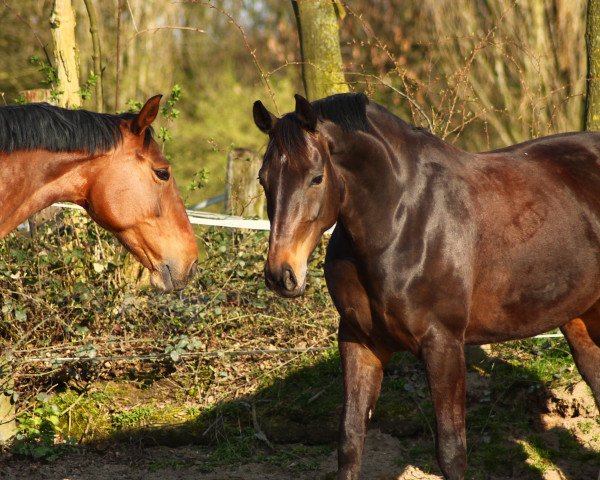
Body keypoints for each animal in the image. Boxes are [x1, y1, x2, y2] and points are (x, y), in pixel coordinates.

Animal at [253, 92, 600, 478]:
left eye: (315, 178)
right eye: (264, 179)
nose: (281, 274)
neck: (403, 222)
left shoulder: (443, 345)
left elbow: (451, 452)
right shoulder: (360, 341)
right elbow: (350, 440)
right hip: (582, 320)